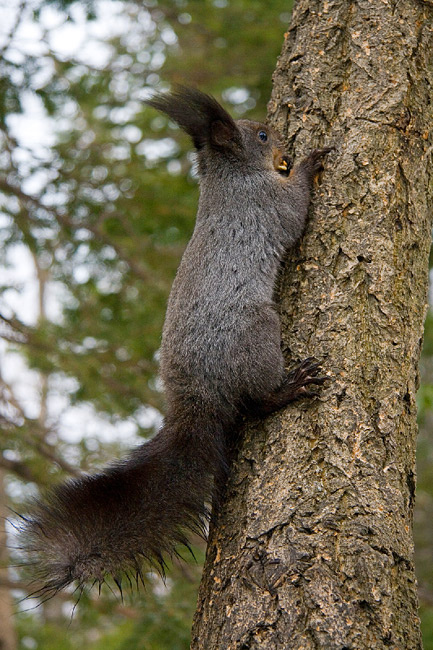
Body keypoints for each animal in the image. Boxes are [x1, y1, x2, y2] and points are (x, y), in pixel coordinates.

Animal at [20, 86, 330, 598]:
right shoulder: (268, 205)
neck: (231, 178)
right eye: (261, 136)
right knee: (257, 399)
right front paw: (310, 162)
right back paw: (289, 387)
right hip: (256, 332)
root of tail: (195, 399)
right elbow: (297, 211)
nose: (281, 133)